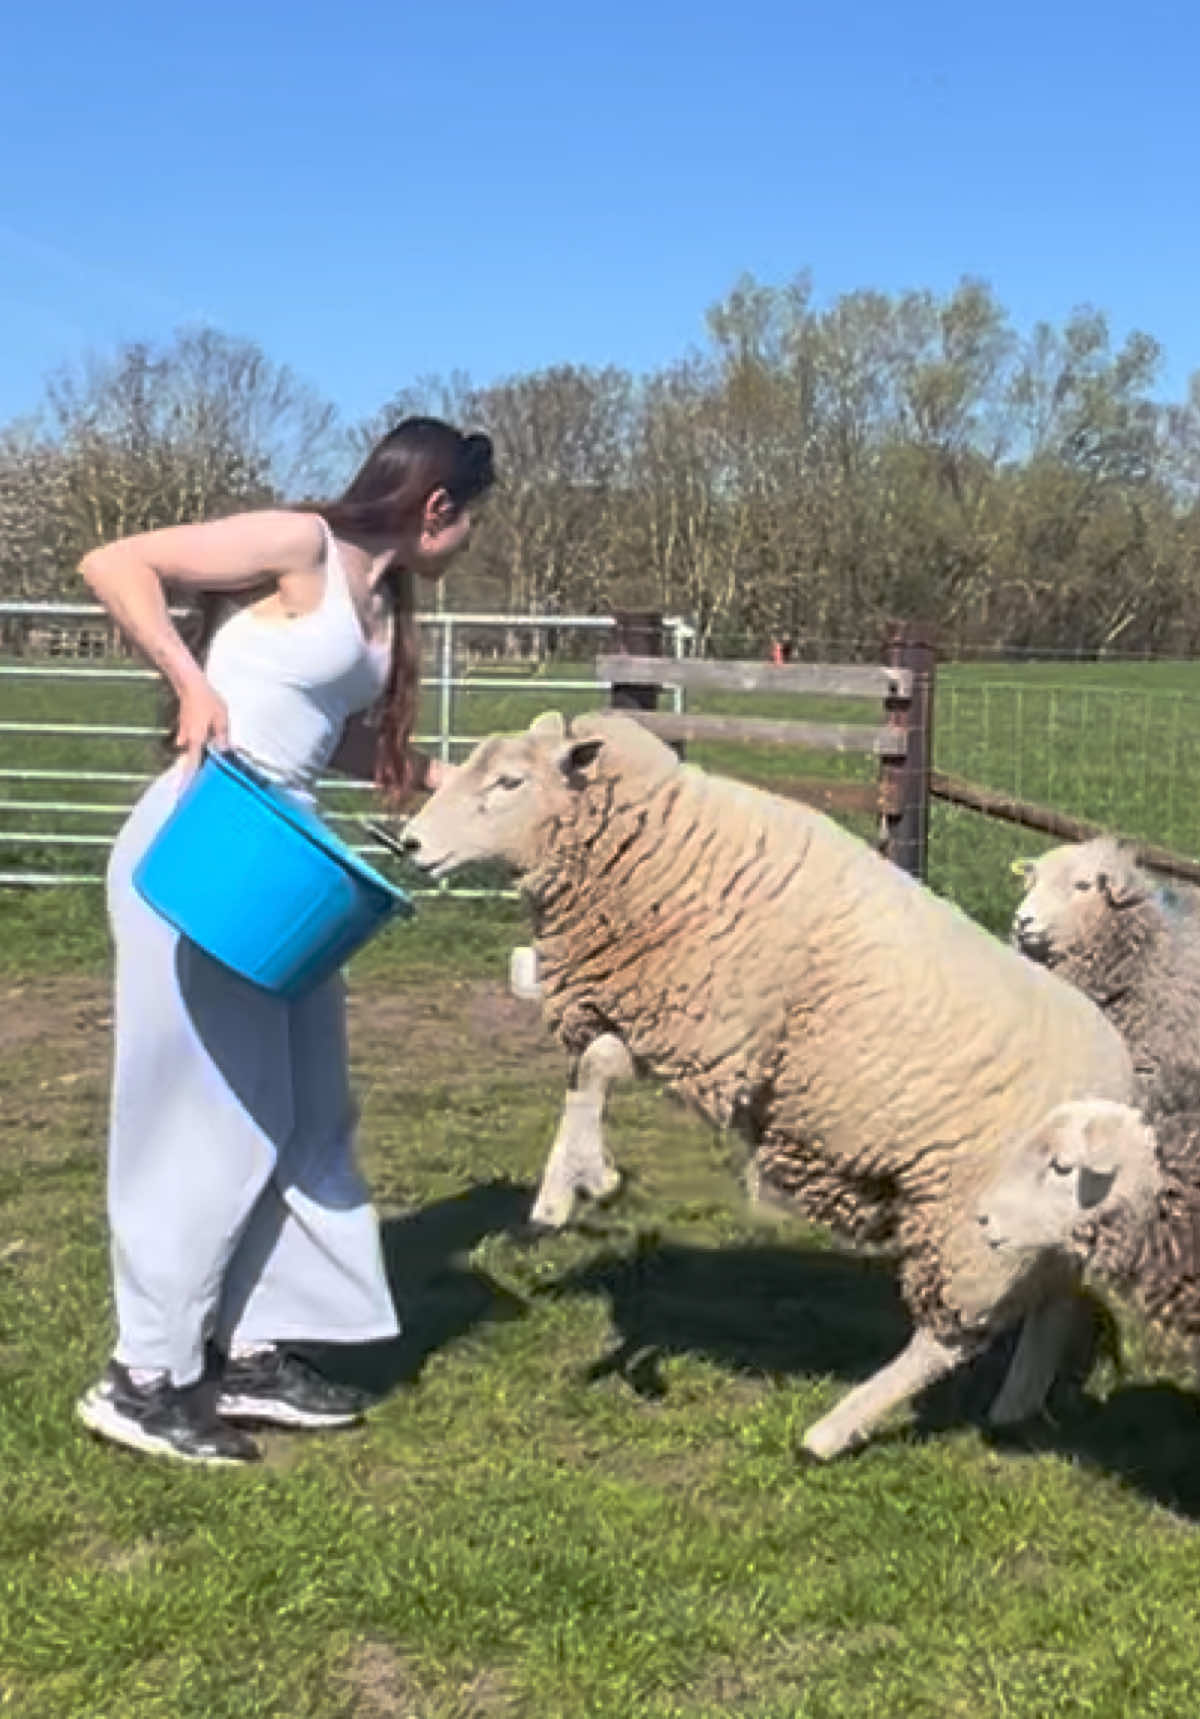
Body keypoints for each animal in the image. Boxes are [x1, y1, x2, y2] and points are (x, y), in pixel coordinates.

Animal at [400, 710, 1136, 1458]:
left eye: (509, 782)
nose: (408, 843)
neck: (669, 850)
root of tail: (1125, 1085)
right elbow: (586, 1071)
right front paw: (583, 1179)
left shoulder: (718, 1041)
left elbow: (599, 1064)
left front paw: (572, 1195)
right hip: (1037, 1225)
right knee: (1055, 1303)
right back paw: (1014, 1405)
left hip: (968, 1222)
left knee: (951, 1337)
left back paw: (834, 1430)